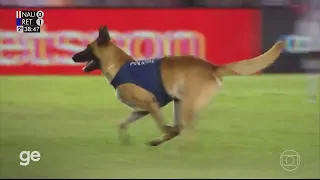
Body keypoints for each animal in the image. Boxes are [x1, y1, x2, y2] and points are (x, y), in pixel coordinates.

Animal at [72, 25, 284, 146]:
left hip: (186, 105)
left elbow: (165, 127)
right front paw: (125, 139)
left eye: (87, 48)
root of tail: (212, 67)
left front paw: (164, 134)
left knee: (184, 129)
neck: (119, 66)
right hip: (179, 103)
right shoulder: (141, 110)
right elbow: (122, 123)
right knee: (184, 127)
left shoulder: (150, 103)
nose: (73, 56)